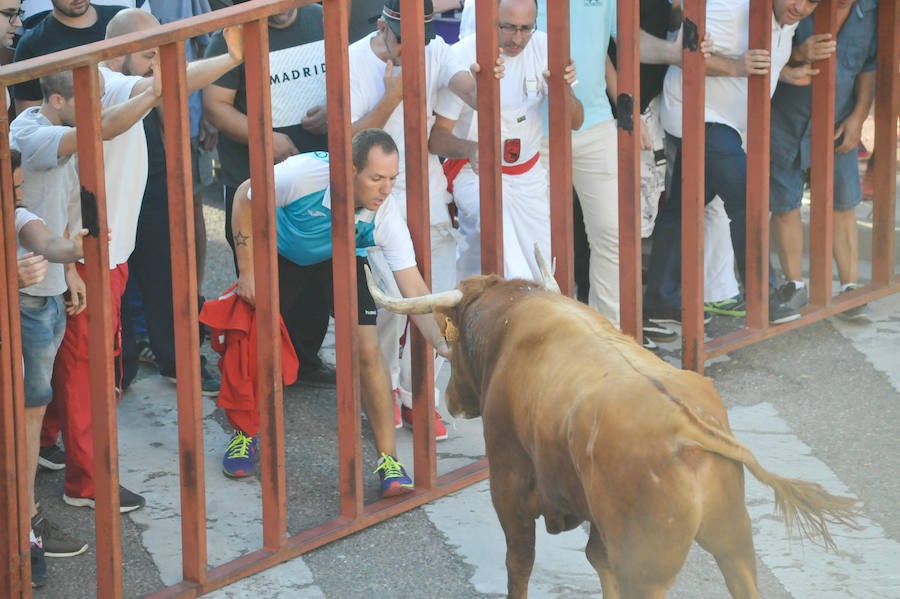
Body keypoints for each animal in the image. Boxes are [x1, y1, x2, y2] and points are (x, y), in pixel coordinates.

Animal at [364, 260, 856, 596]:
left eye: (450, 339)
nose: (450, 400)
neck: (514, 321)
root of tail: (689, 429)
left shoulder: (508, 485)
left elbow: (519, 563)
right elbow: (597, 560)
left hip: (649, 570)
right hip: (735, 542)